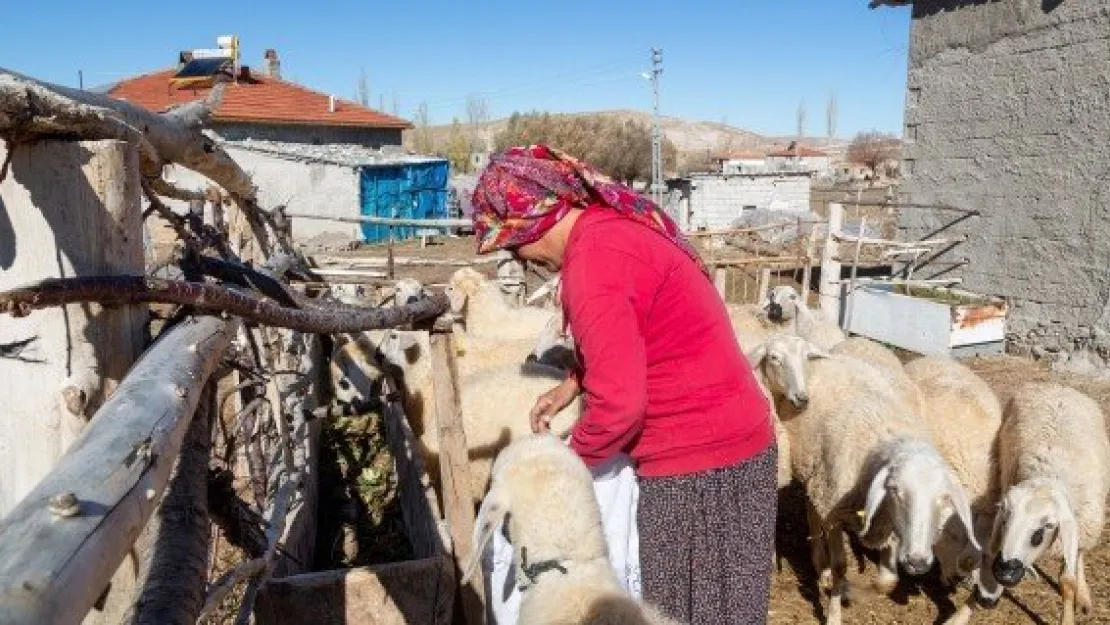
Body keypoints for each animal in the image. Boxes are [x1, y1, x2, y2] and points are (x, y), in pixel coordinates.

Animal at [745, 337, 981, 625]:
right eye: (896, 490)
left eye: (942, 499)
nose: (919, 562)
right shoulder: (835, 514)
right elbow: (840, 566)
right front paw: (836, 610)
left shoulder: (890, 527)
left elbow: (887, 582)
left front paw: (854, 591)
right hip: (819, 480)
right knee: (813, 515)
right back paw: (821, 565)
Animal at [985, 384, 1105, 621]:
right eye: (1005, 517)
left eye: (1047, 525)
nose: (1005, 572)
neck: (1050, 476)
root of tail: (1059, 387)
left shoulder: (1081, 528)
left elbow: (1068, 581)